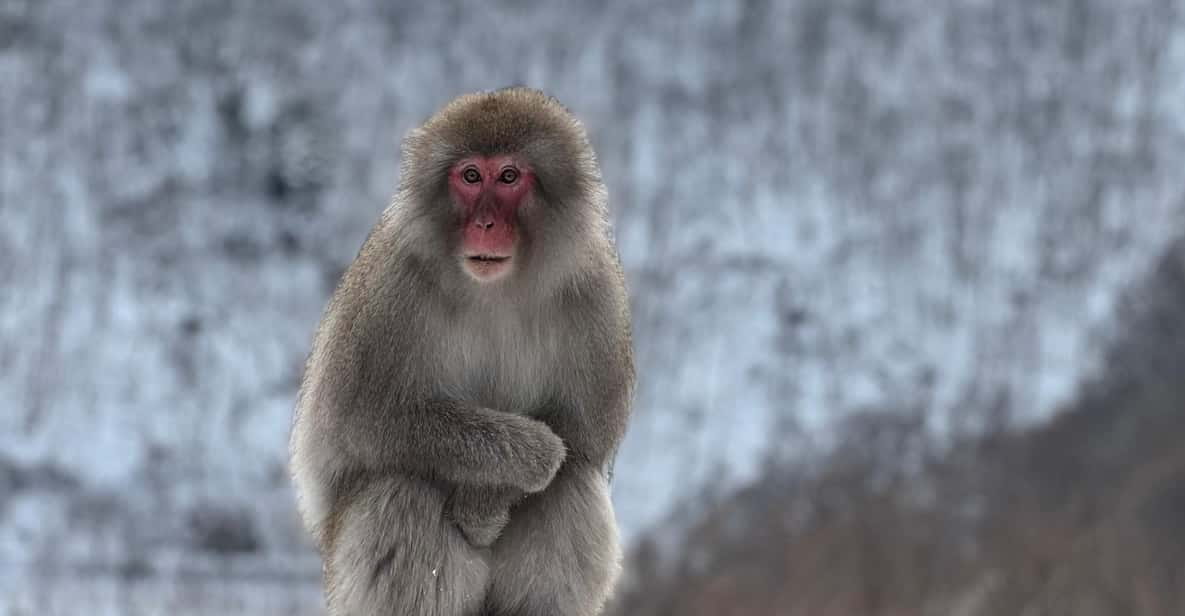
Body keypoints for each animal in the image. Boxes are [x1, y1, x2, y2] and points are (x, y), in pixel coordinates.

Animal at [289, 87, 634, 616]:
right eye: (470, 176)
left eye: (509, 176)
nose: (485, 223)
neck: (494, 288)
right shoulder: (391, 287)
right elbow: (360, 418)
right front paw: (524, 460)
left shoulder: (596, 294)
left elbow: (585, 435)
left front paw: (485, 506)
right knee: (403, 489)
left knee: (570, 485)